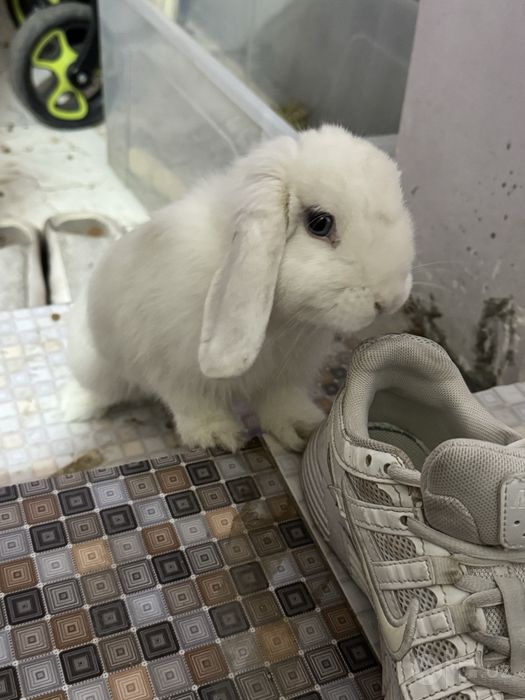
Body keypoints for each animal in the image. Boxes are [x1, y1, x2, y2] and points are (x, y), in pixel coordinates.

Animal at [62, 125, 415, 452]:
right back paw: (74, 408)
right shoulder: (176, 372)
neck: (280, 322)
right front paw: (219, 437)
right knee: (100, 389)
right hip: (97, 364)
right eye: (319, 223)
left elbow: (282, 403)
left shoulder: (285, 376)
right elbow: (196, 405)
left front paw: (304, 431)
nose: (390, 299)